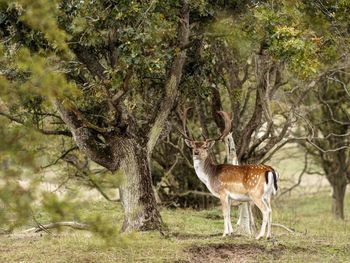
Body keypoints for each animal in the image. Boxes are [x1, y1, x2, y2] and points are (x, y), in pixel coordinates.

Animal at [180, 110, 278, 240]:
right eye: (193, 146)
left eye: (205, 147)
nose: (196, 152)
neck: (210, 176)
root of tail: (270, 170)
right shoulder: (230, 197)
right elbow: (230, 213)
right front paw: (231, 232)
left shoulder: (223, 192)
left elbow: (225, 213)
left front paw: (224, 233)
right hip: (268, 195)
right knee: (271, 211)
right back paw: (268, 236)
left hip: (256, 194)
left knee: (266, 211)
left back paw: (259, 236)